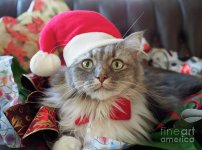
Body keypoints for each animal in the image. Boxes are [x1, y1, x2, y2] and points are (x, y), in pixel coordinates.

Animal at [41, 32, 202, 149]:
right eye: (87, 64)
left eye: (117, 64)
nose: (101, 77)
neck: (101, 109)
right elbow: (70, 133)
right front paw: (64, 144)